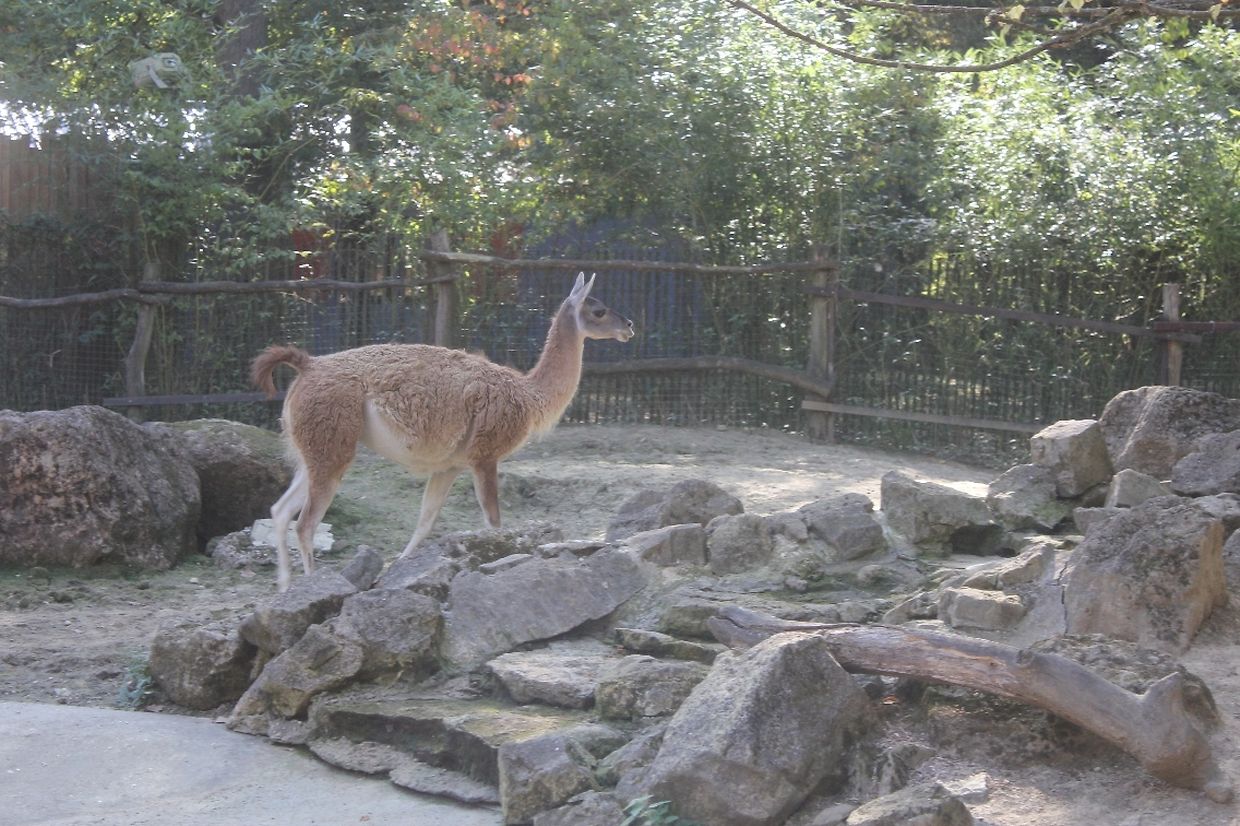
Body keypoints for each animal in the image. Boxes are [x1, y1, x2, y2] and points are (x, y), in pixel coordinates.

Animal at [251, 272, 634, 591]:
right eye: (598, 310)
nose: (629, 325)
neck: (529, 394)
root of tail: (308, 364)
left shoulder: (449, 466)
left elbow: (425, 521)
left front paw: (403, 567)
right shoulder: (485, 455)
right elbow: (494, 521)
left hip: (315, 450)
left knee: (280, 510)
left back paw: (284, 586)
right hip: (331, 446)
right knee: (305, 524)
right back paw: (312, 586)